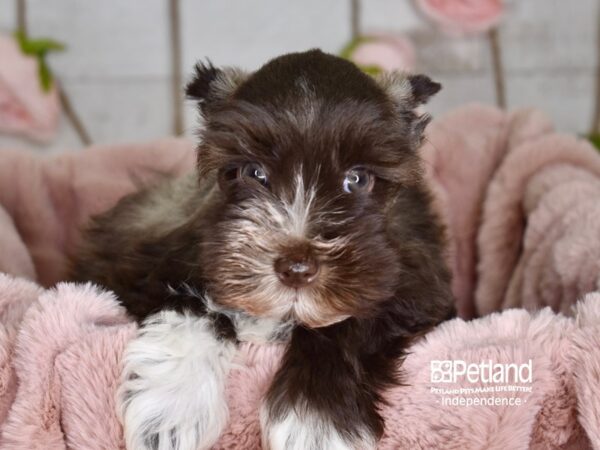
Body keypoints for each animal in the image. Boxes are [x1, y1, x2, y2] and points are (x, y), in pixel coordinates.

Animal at [69, 49, 454, 450]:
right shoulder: (146, 270)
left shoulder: (415, 287)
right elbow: (189, 309)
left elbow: (348, 327)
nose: (297, 269)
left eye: (358, 179)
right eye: (253, 173)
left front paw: (317, 423)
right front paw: (171, 412)